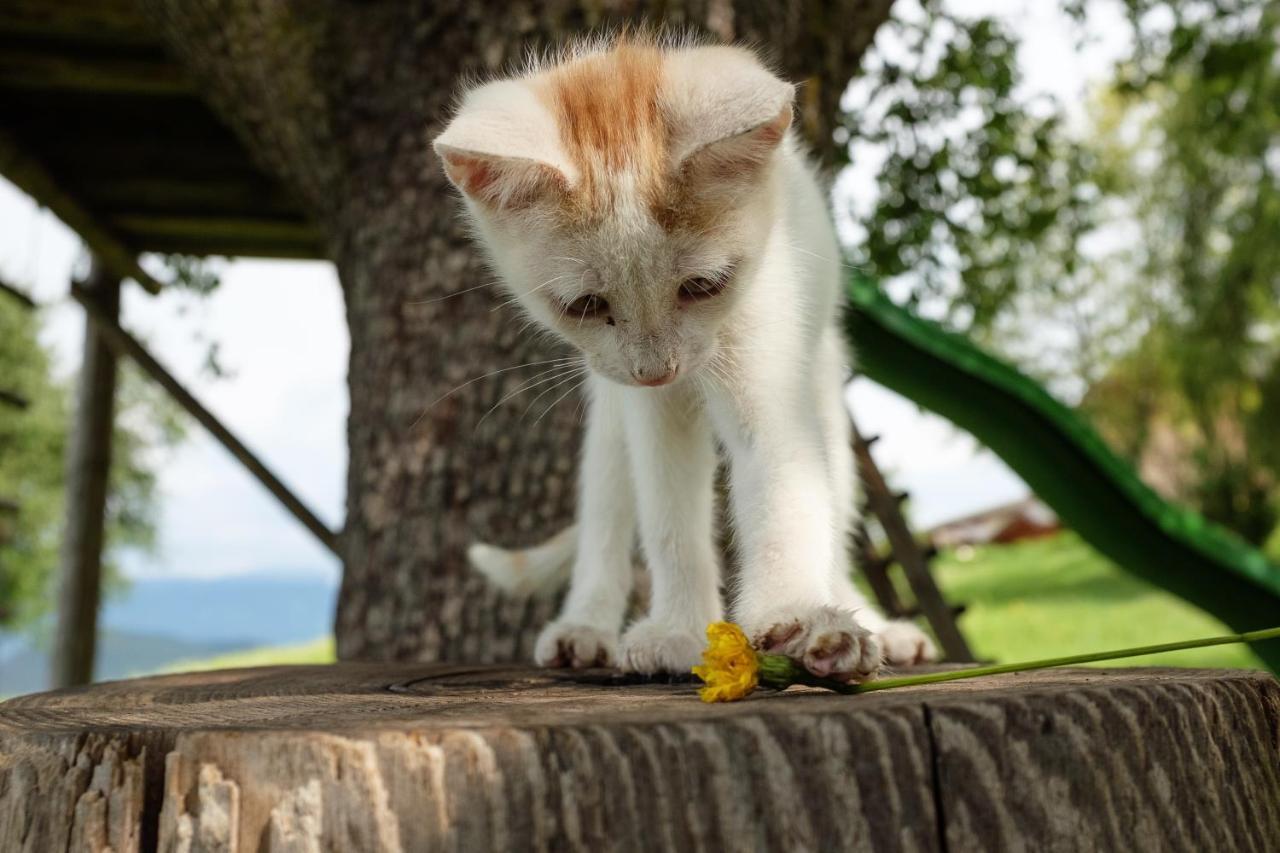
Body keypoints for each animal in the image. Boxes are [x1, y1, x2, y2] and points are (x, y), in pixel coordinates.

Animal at [435, 34, 936, 676]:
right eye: (585, 304)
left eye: (702, 286)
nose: (657, 369)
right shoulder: (648, 408)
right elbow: (668, 514)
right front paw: (678, 630)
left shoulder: (767, 345)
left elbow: (787, 486)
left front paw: (799, 618)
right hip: (611, 413)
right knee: (606, 509)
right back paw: (584, 625)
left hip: (823, 383)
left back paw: (866, 619)